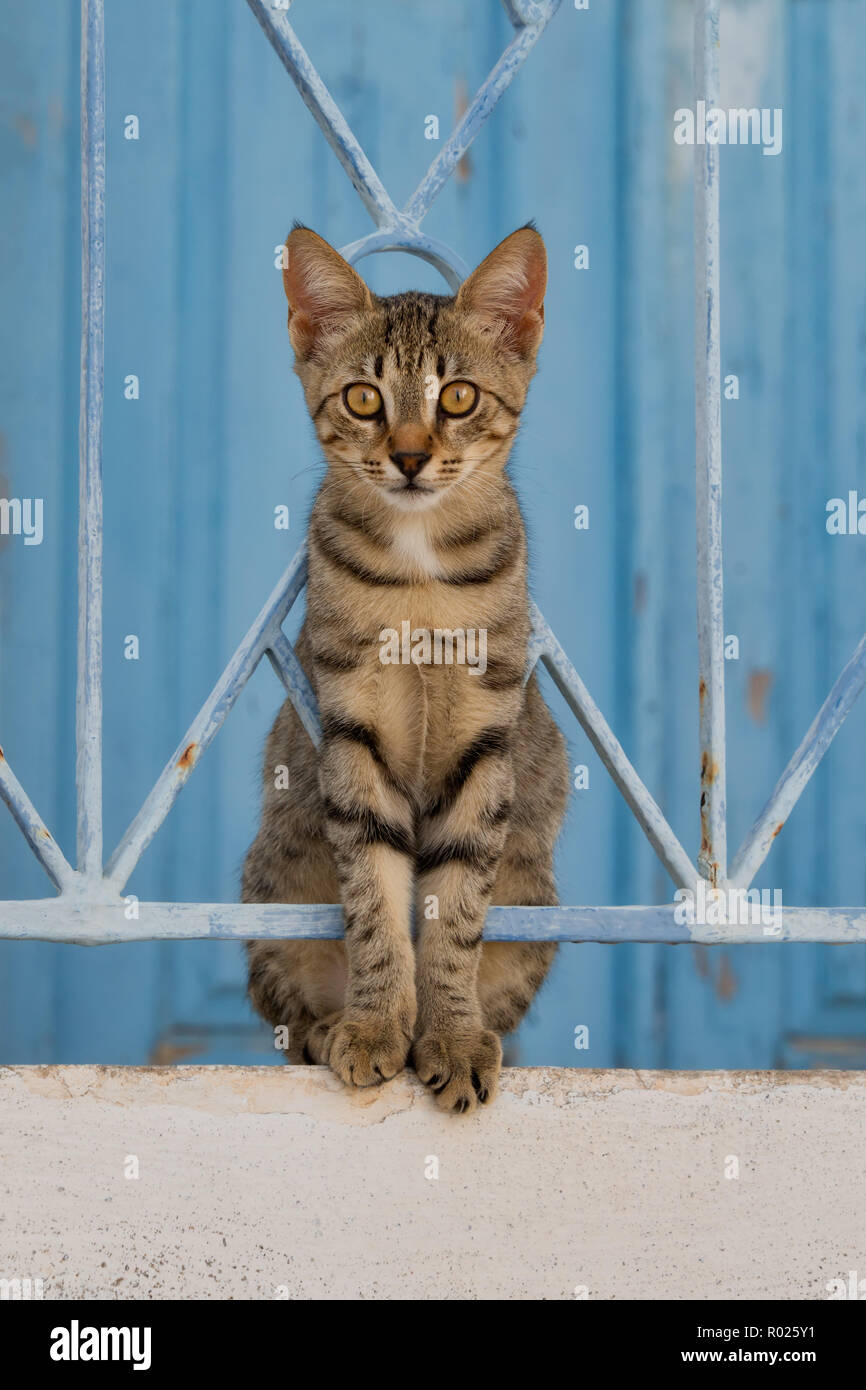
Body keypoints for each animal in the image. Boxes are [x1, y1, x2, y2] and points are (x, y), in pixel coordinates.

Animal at [244, 222, 569, 1112]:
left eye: (457, 398)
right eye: (364, 399)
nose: (413, 457)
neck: (419, 574)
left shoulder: (484, 744)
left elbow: (453, 913)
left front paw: (450, 1035)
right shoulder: (353, 736)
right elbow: (374, 903)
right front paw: (373, 1024)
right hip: (268, 888)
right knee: (286, 1015)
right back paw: (327, 1028)